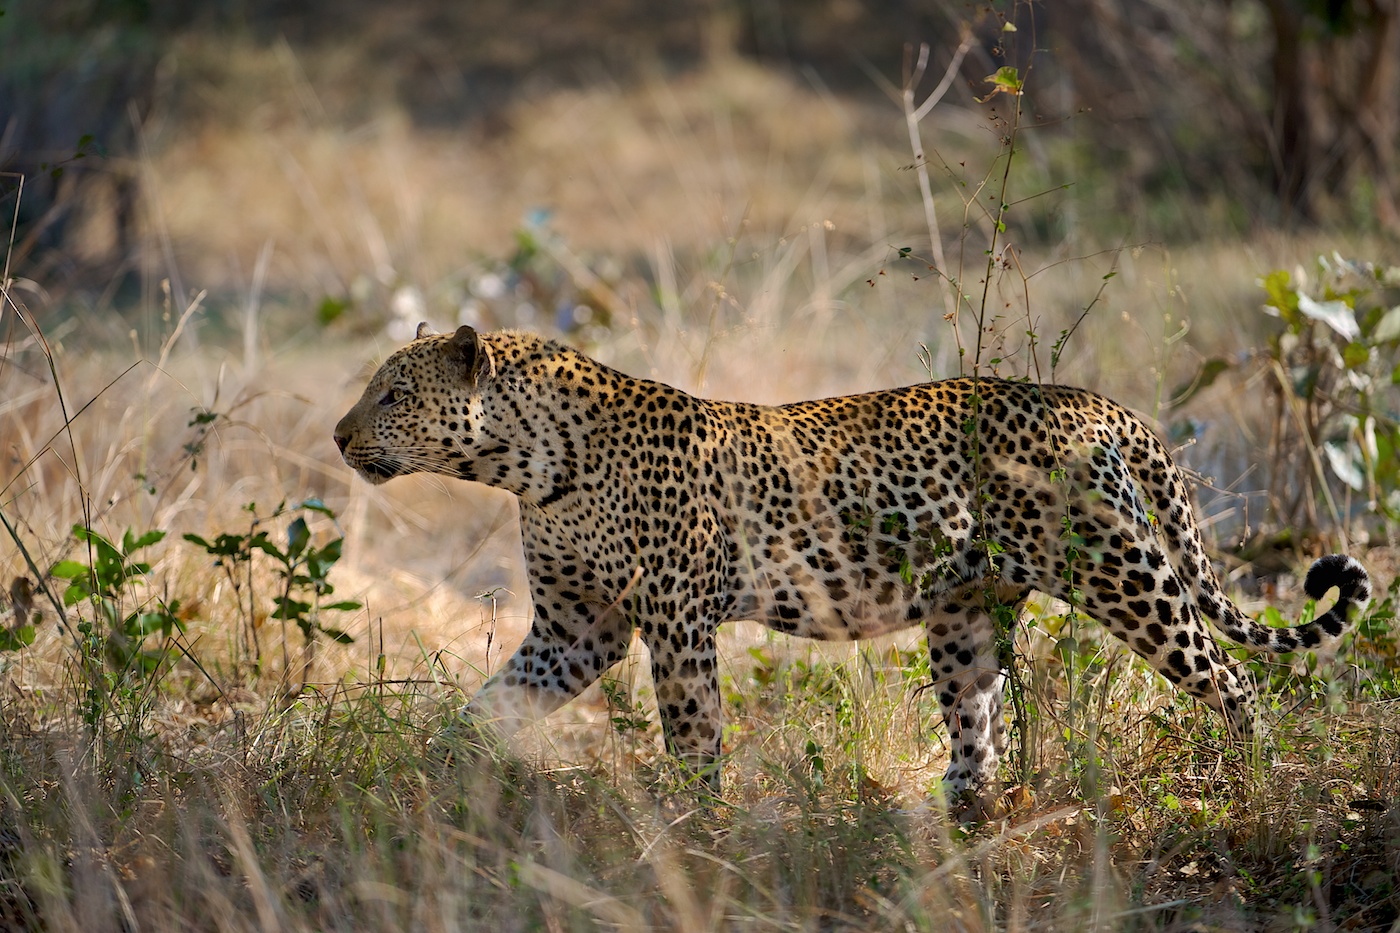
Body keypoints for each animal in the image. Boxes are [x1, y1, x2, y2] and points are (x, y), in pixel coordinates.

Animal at [336, 325, 1366, 790]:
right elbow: (488, 705)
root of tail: (1099, 403)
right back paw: (958, 839)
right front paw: (424, 771)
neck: (533, 466)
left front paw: (696, 828)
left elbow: (694, 732)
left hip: (1123, 571)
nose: (341, 436)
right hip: (966, 619)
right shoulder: (575, 626)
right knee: (977, 739)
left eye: (393, 394)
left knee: (1232, 675)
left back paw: (1260, 781)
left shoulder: (673, 620)